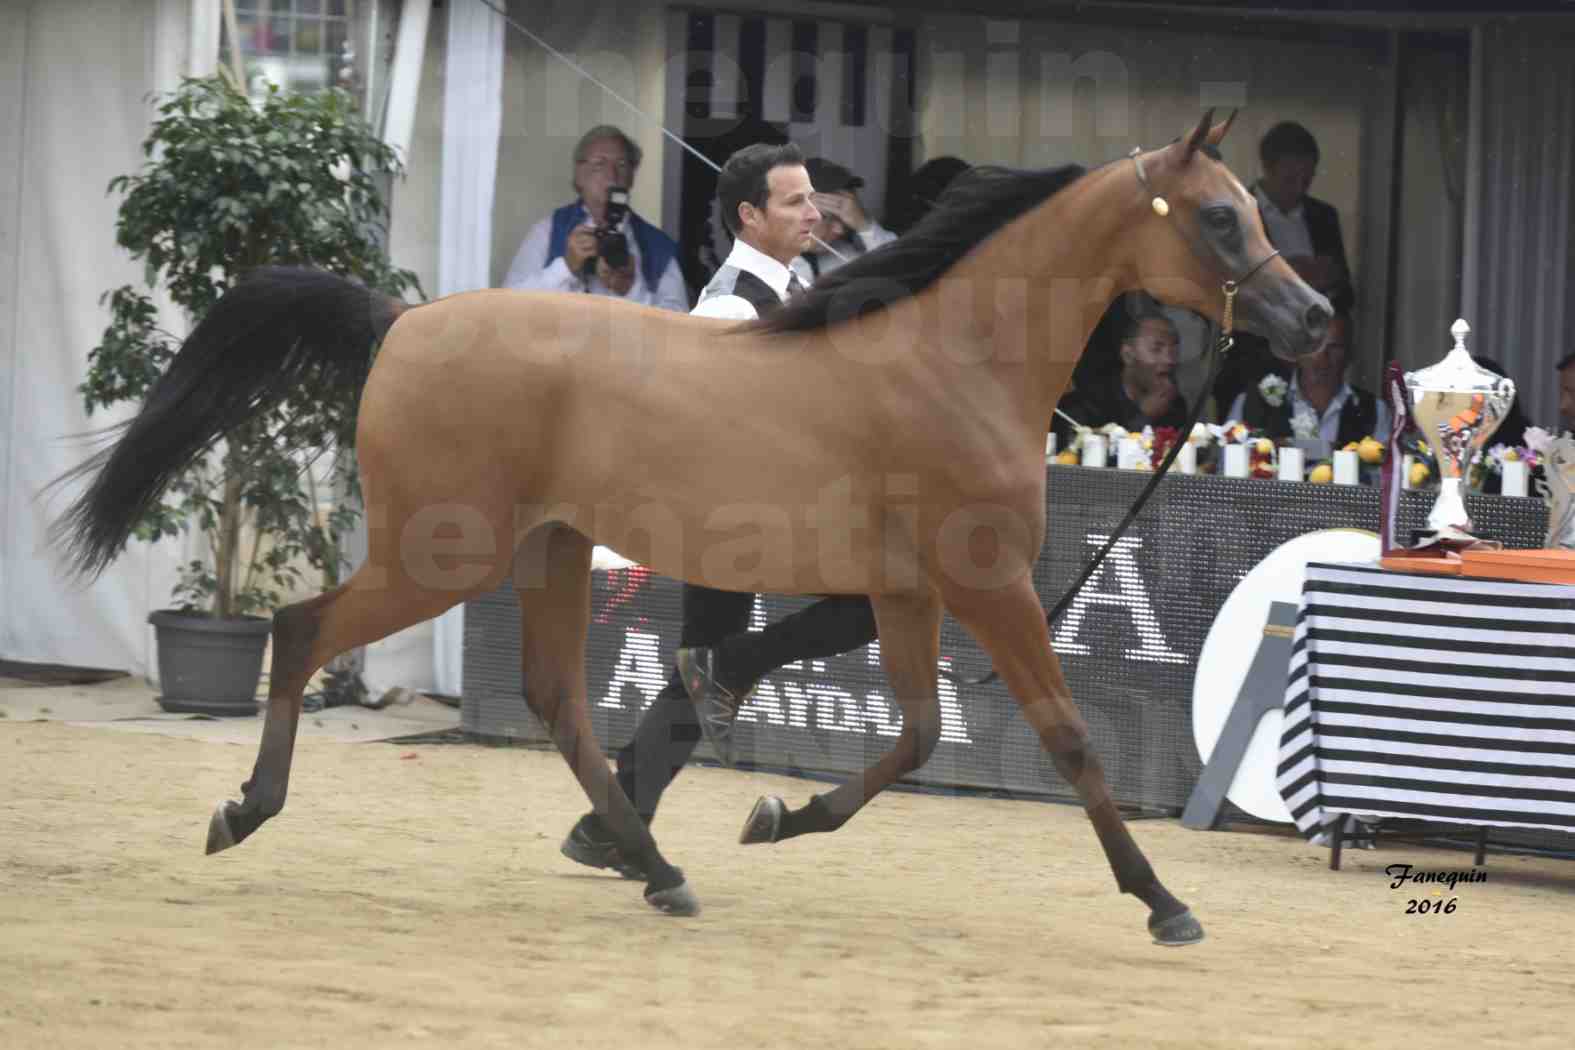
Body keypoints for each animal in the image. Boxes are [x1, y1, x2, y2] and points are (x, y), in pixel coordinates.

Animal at [52, 113, 1329, 944]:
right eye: (1219, 218)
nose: (1313, 317)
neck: (953, 360)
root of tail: (400, 325)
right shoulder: (990, 584)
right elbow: (1068, 740)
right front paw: (1166, 903)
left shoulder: (909, 591)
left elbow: (918, 737)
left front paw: (775, 817)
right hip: (440, 552)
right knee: (305, 628)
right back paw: (243, 811)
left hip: (549, 549)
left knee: (558, 701)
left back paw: (655, 865)